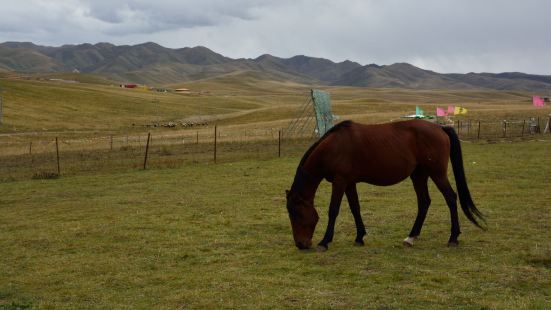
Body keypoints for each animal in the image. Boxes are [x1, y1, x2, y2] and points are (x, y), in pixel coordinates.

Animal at [286, 120, 486, 251]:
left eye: (297, 213)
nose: (301, 244)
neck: (333, 147)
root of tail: (440, 127)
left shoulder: (340, 181)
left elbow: (333, 210)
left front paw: (324, 241)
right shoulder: (349, 183)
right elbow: (355, 208)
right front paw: (359, 237)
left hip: (437, 173)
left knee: (450, 198)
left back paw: (453, 237)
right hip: (419, 175)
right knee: (424, 202)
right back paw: (410, 238)